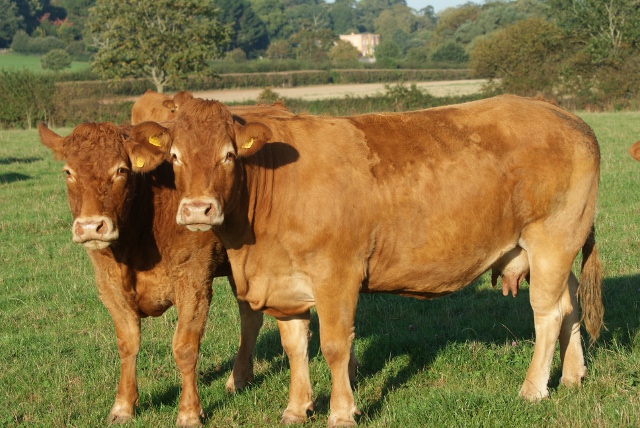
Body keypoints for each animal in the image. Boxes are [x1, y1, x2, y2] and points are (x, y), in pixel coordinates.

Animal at [131, 95, 604, 426]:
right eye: (174, 157)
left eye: (228, 155)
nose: (197, 209)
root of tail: (567, 116)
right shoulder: (285, 282)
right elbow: (294, 346)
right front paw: (297, 408)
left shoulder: (336, 275)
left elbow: (334, 346)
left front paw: (341, 412)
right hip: (557, 250)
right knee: (571, 305)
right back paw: (572, 376)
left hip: (552, 239)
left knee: (548, 313)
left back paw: (533, 388)